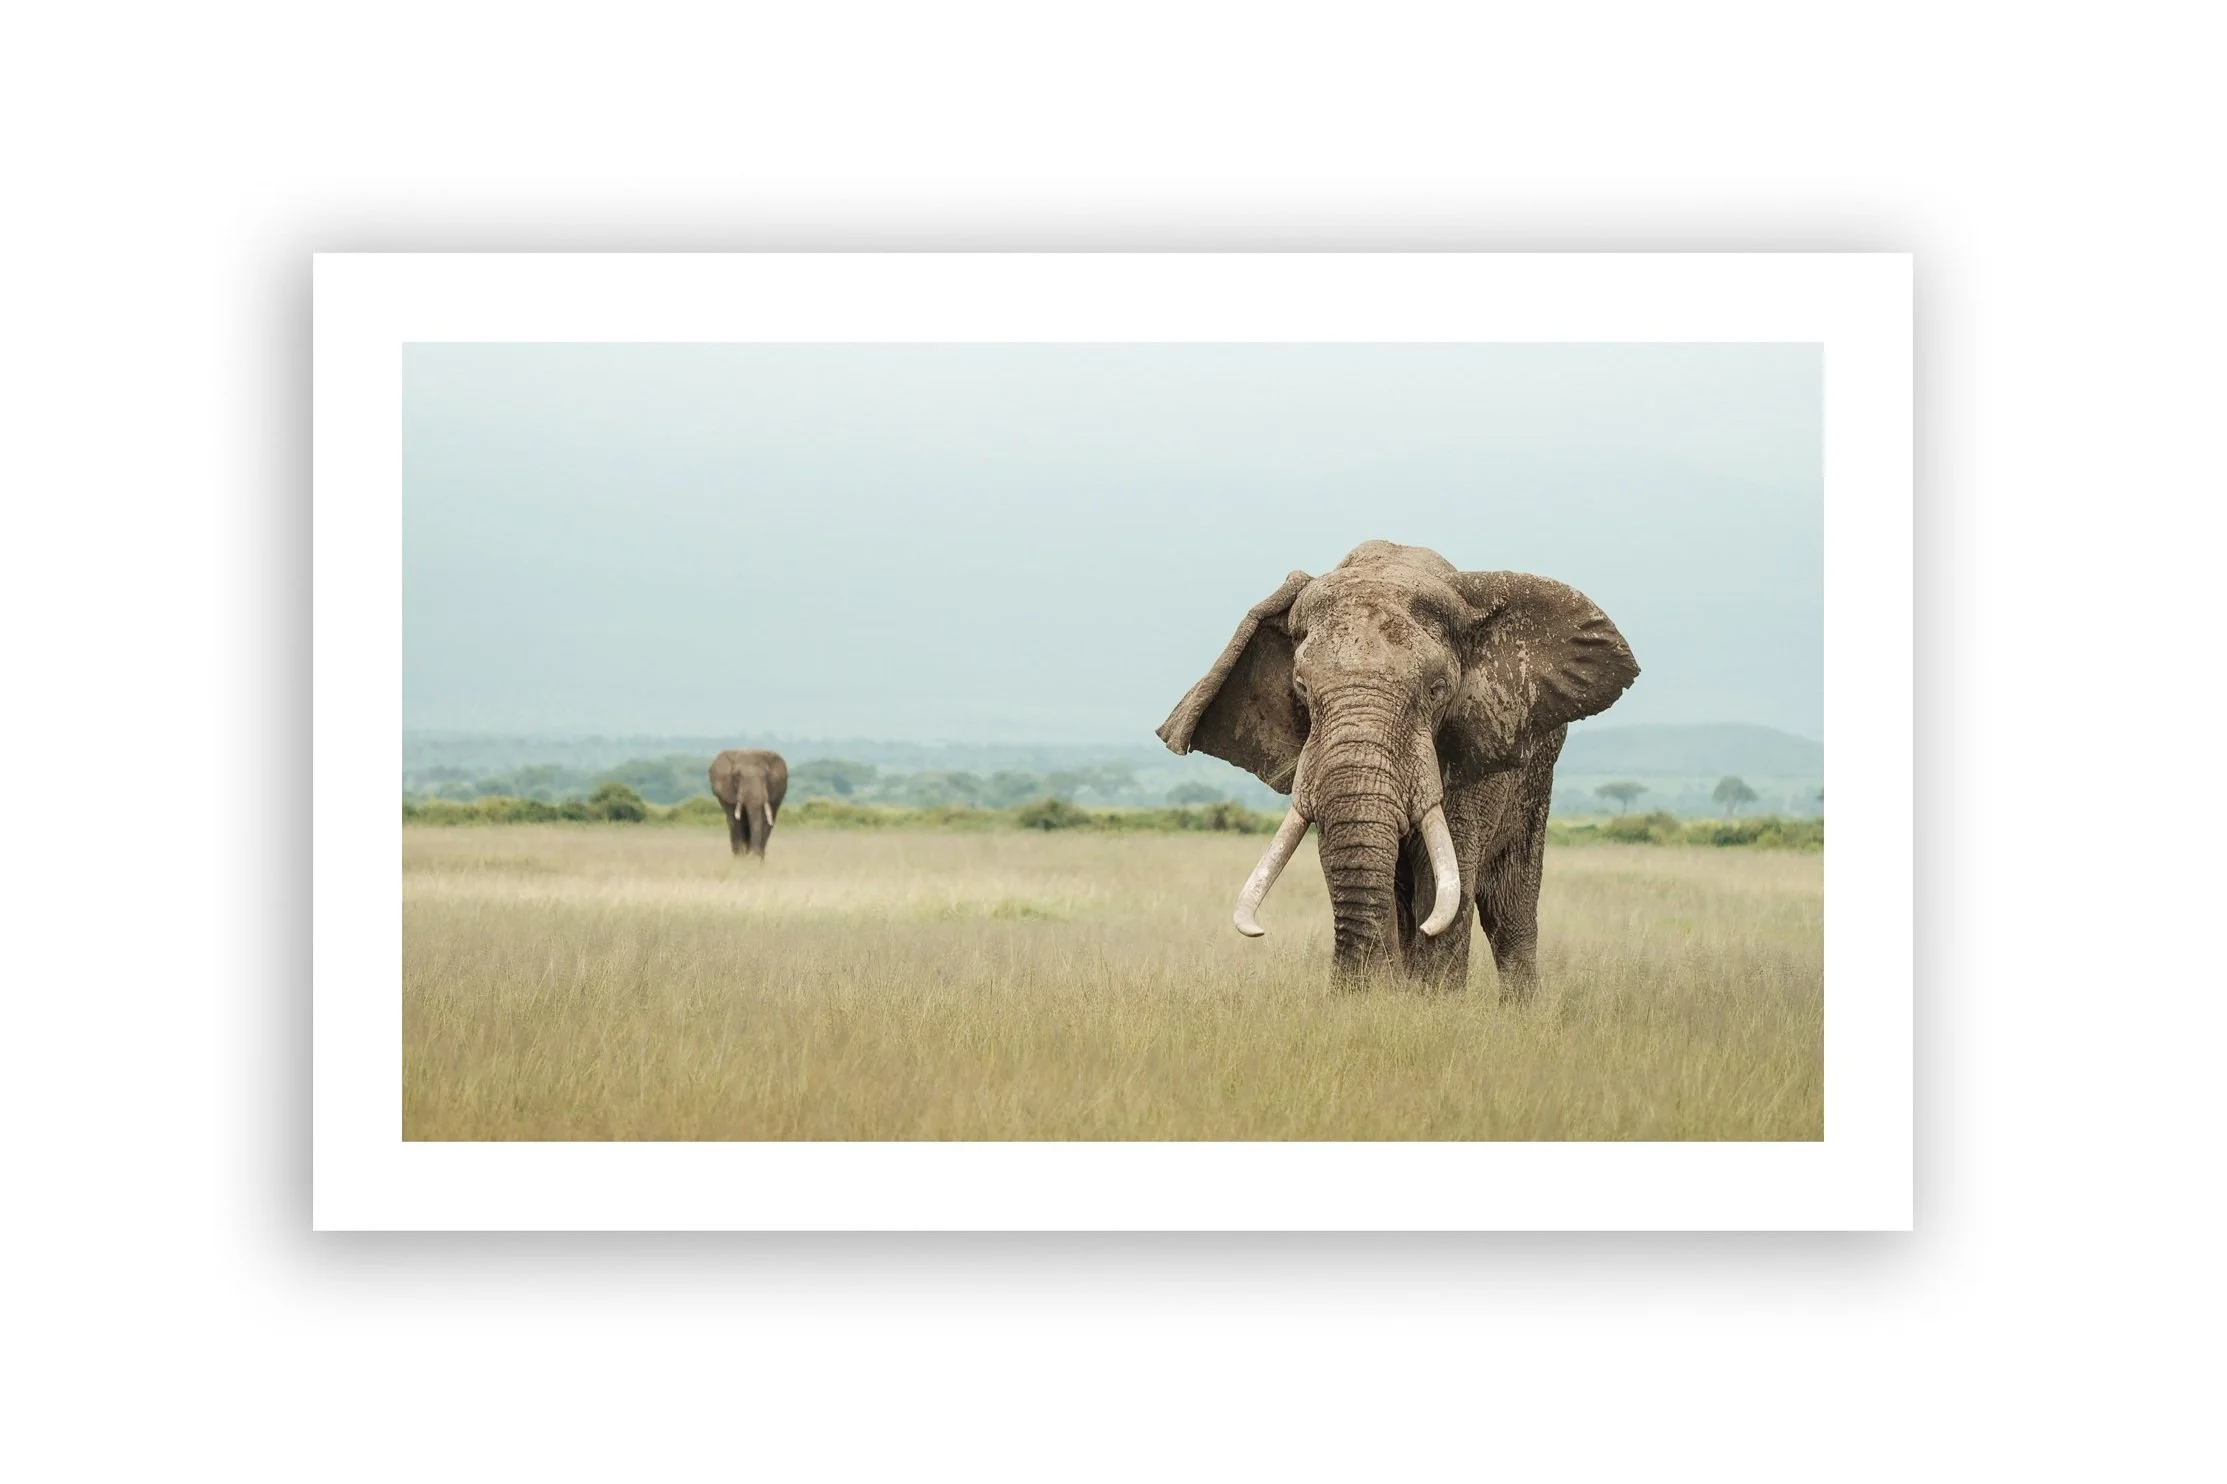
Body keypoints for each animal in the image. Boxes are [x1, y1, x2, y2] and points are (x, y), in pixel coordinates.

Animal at [1158, 540, 1638, 995]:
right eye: (1300, 687)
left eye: (1437, 690)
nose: (1348, 992)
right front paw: (1380, 998)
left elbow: (1448, 877)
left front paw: (1432, 1003)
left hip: (1537, 783)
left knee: (1510, 912)